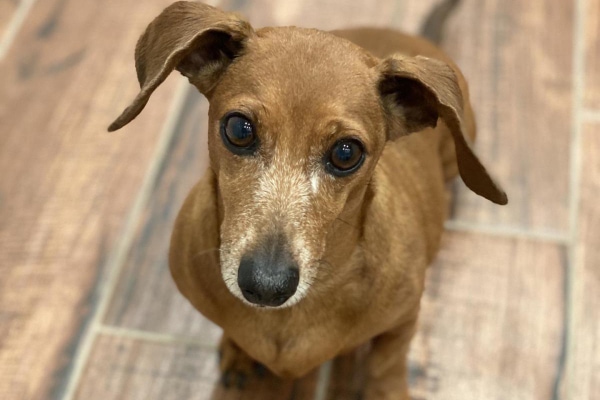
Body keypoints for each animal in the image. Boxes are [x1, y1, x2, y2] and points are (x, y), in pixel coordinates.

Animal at [108, 2, 506, 396]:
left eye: (346, 153)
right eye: (238, 129)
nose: (266, 287)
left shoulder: (404, 319)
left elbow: (386, 364)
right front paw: (238, 350)